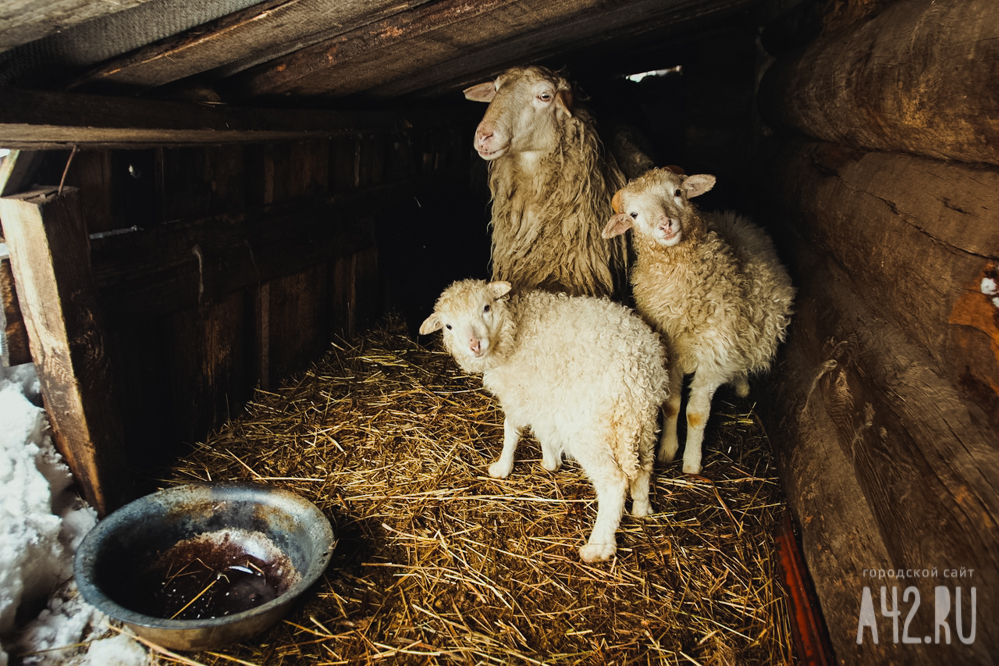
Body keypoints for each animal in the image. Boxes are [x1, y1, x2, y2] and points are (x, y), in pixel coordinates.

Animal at [418, 276, 668, 560]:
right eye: (449, 326)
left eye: (486, 307)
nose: (474, 345)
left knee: (613, 483)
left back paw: (597, 547)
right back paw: (642, 509)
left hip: (590, 431)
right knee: (644, 467)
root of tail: (636, 373)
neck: (515, 327)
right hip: (643, 425)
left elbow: (511, 431)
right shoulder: (542, 393)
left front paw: (502, 467)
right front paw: (550, 461)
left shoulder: (516, 393)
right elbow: (544, 429)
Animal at [600, 169, 796, 474]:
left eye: (678, 192)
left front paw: (692, 463)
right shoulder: (670, 354)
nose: (666, 225)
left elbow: (695, 414)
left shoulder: (713, 358)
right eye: (633, 214)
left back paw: (742, 385)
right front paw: (667, 450)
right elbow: (671, 405)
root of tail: (732, 216)